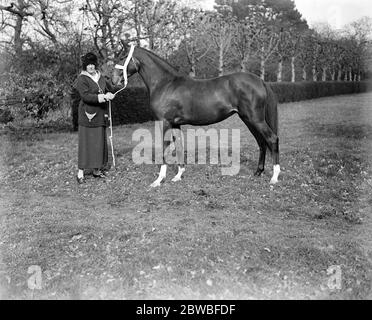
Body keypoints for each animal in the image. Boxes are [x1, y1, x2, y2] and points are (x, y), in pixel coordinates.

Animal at [112, 42, 280, 188]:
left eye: (122, 56)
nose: (113, 80)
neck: (165, 84)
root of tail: (260, 81)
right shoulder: (175, 124)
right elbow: (179, 146)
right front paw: (178, 176)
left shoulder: (164, 122)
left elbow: (165, 147)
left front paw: (159, 180)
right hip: (248, 119)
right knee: (261, 142)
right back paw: (258, 172)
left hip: (255, 119)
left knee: (272, 139)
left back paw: (274, 177)